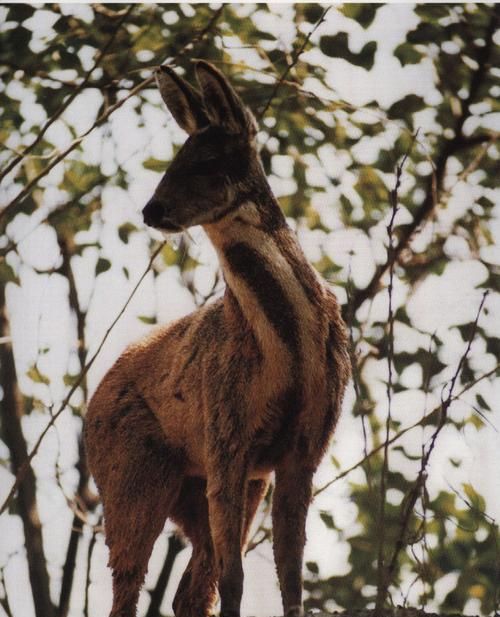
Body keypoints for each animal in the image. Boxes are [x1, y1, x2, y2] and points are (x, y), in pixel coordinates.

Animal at [84, 59, 350, 616]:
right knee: (131, 586)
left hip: (210, 485)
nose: (153, 210)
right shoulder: (226, 432)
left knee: (188, 591)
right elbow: (236, 579)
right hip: (133, 471)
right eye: (175, 158)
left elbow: (290, 578)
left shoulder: (304, 447)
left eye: (206, 160)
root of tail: (92, 403)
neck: (290, 352)